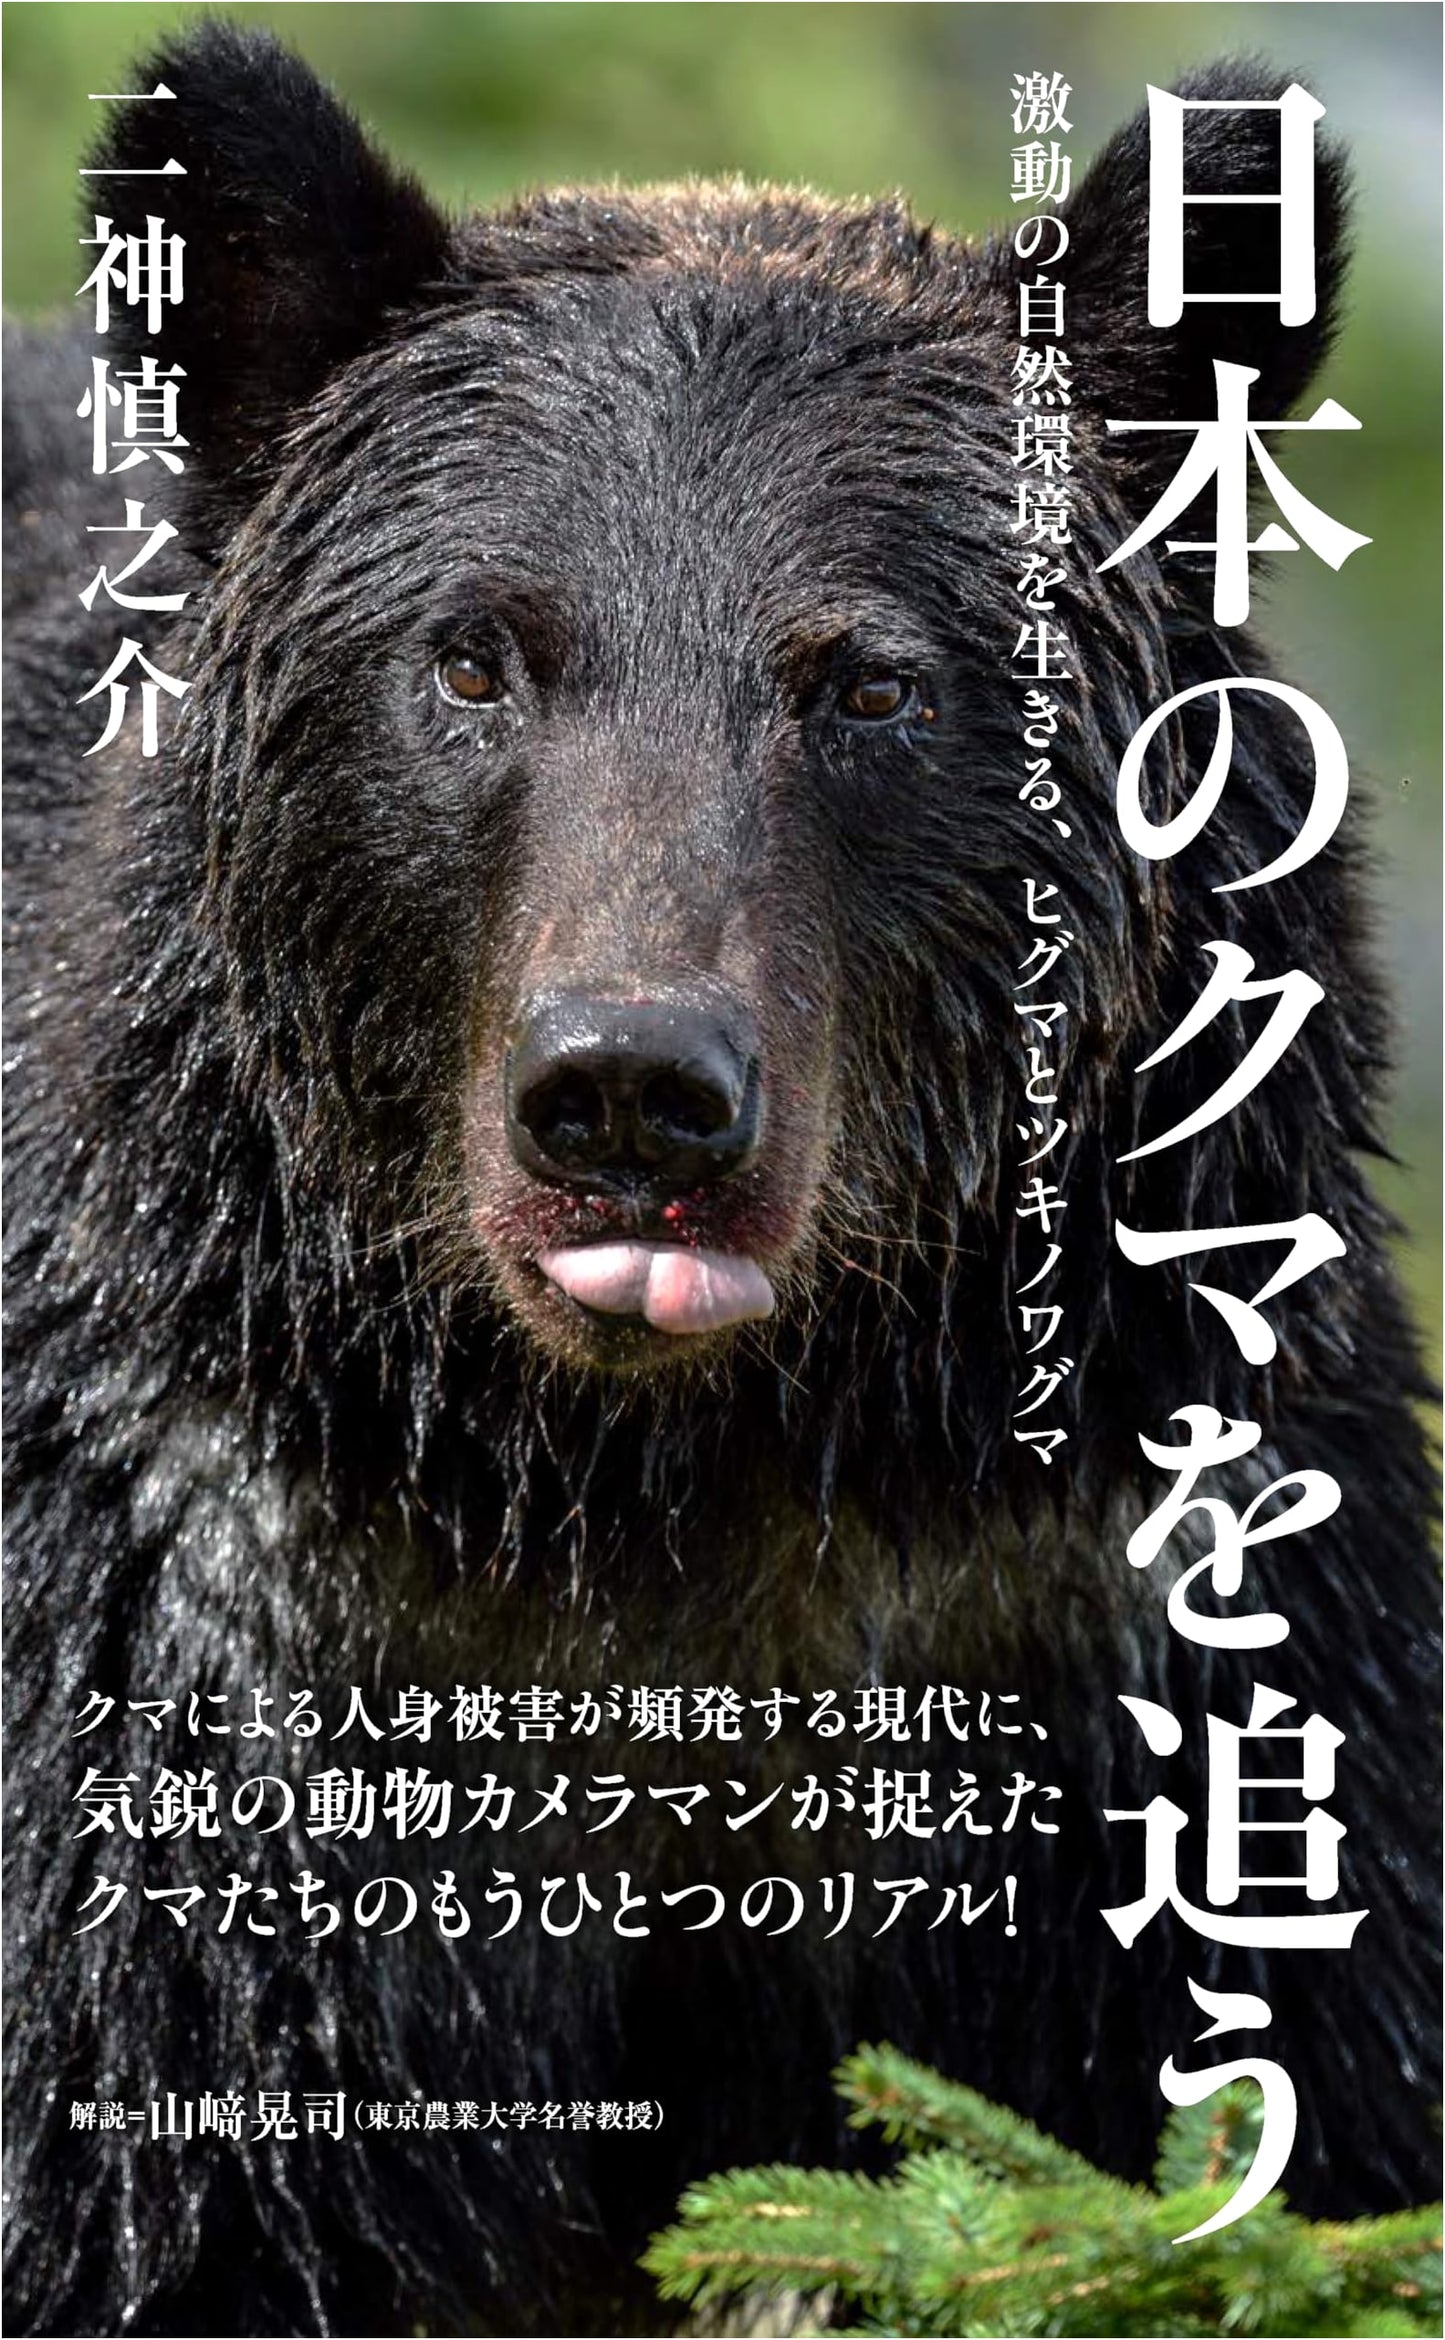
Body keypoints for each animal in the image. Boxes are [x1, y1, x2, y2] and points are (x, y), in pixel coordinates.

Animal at [3, 23, 1438, 2338]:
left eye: (865, 680)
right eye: (474, 654)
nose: (628, 1098)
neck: (668, 1480)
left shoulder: (1105, 1621)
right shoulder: (227, 1639)